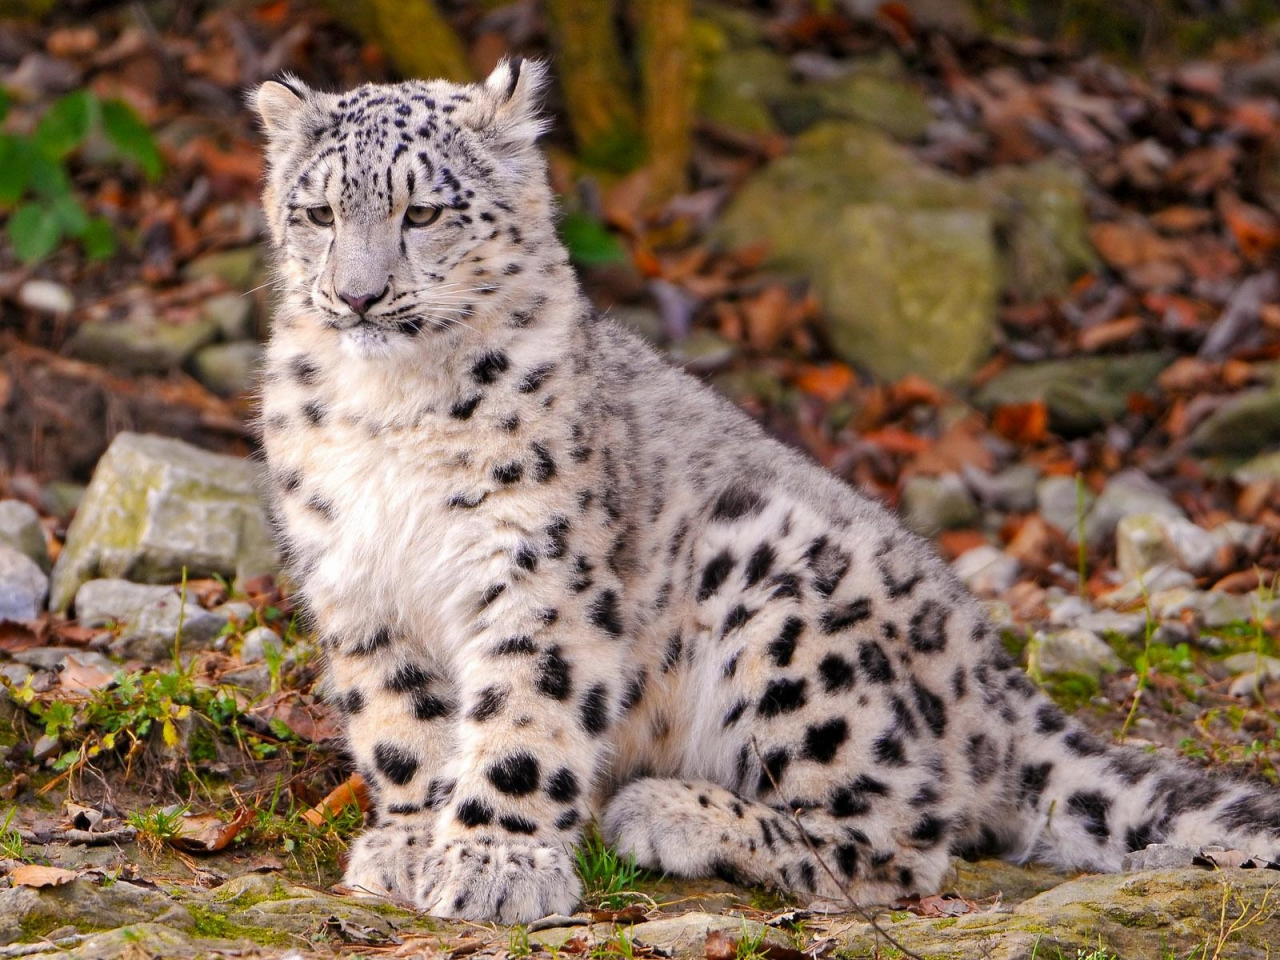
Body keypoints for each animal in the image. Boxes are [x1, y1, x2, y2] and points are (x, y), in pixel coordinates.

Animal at [254, 58, 1280, 926]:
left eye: (423, 213)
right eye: (319, 214)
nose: (358, 296)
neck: (393, 411)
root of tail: (994, 677)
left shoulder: (538, 569)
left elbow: (523, 714)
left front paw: (495, 864)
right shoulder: (357, 580)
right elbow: (401, 723)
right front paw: (409, 841)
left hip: (780, 597)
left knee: (902, 838)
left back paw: (666, 813)